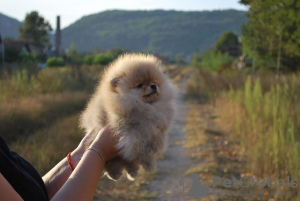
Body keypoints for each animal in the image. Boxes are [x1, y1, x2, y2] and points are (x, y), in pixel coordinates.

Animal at [81, 53, 177, 181]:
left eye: (154, 81)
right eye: (139, 85)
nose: (153, 86)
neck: (145, 107)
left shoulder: (156, 131)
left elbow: (154, 144)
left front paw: (150, 162)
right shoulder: (133, 131)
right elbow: (139, 147)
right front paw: (147, 163)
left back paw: (131, 172)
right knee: (112, 161)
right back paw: (114, 173)